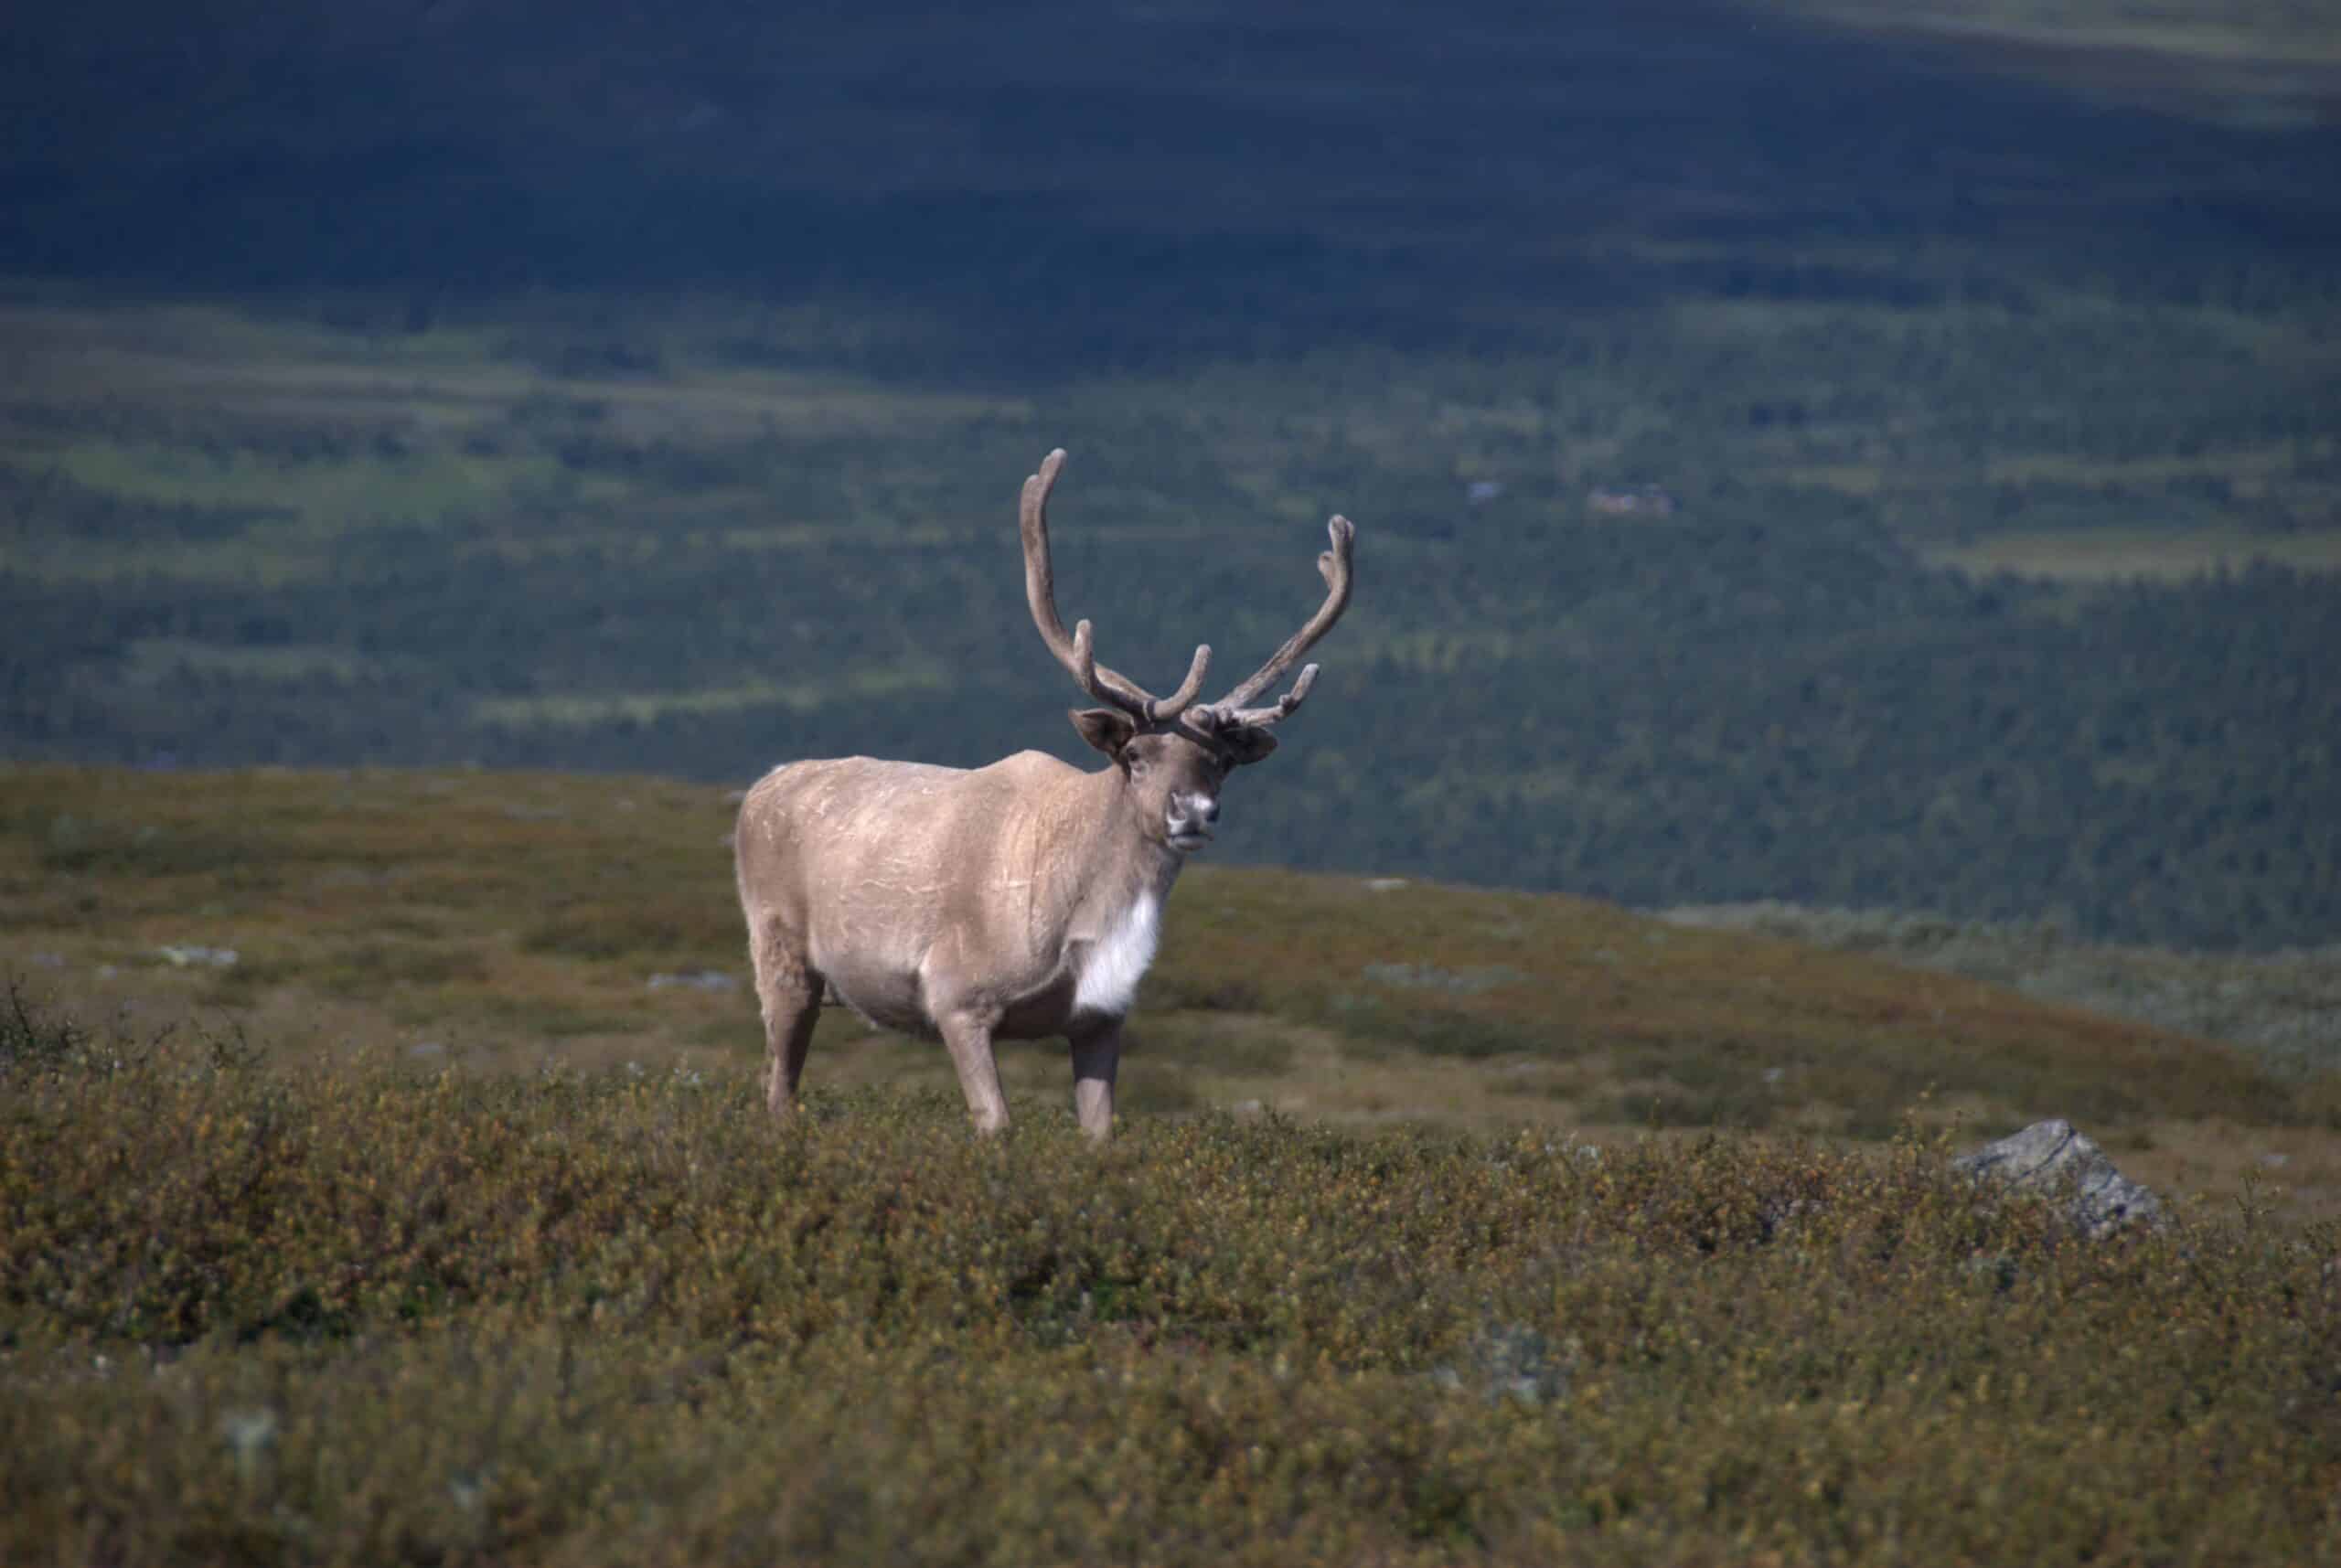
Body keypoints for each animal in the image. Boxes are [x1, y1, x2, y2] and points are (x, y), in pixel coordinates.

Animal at [733, 448, 1356, 1139]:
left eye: (1220, 761)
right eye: (1133, 756)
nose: (1193, 811)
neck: (1080, 920)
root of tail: (758, 789)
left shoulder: (1101, 1018)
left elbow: (1100, 1132)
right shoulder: (956, 995)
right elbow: (997, 1124)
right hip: (780, 955)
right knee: (777, 1084)